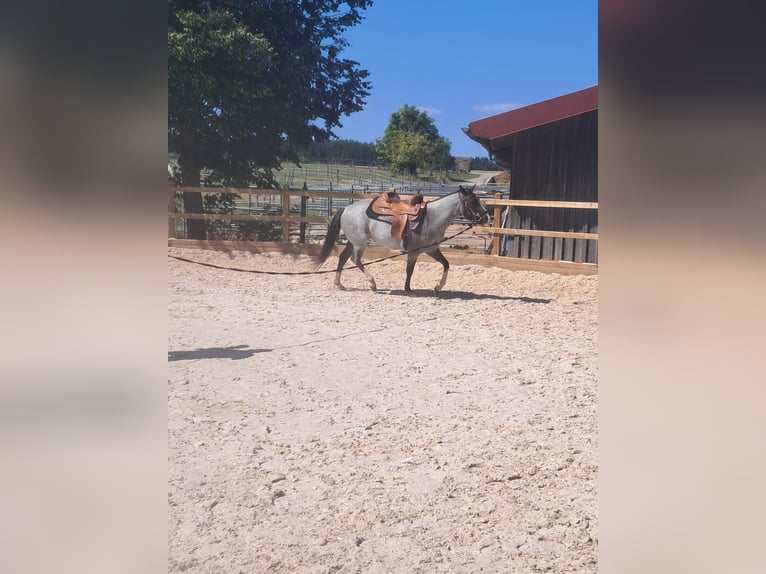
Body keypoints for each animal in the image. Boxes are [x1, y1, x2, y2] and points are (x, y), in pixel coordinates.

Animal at [314, 185, 489, 292]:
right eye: (472, 201)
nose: (486, 217)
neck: (431, 218)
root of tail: (346, 208)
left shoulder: (432, 249)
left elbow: (446, 264)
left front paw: (438, 287)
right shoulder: (414, 252)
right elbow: (409, 270)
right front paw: (408, 289)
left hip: (353, 241)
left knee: (343, 257)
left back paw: (339, 284)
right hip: (359, 243)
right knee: (354, 259)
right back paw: (372, 283)